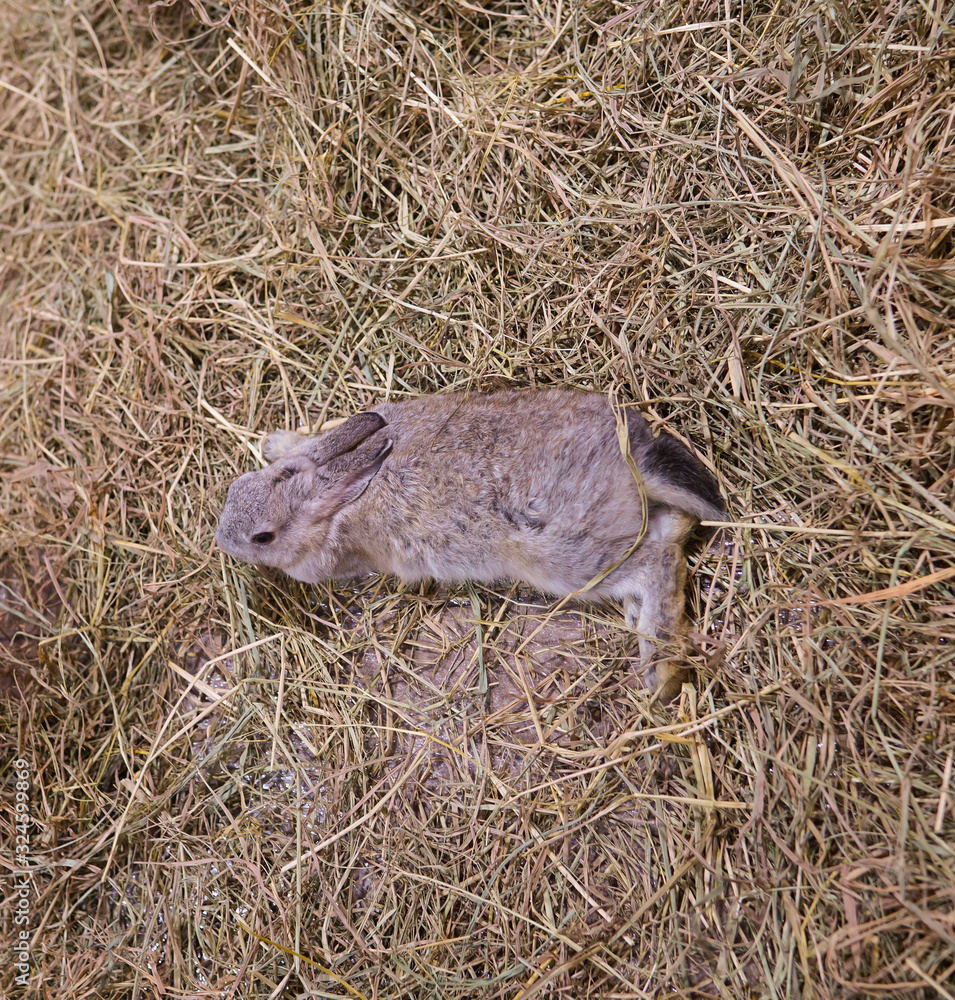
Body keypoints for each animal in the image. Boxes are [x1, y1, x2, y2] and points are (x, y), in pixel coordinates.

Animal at [215, 388, 726, 690]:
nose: (222, 541)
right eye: (235, 488)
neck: (332, 501)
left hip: (568, 559)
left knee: (658, 562)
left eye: (262, 537)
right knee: (674, 533)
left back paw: (659, 671)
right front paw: (274, 442)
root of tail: (631, 457)